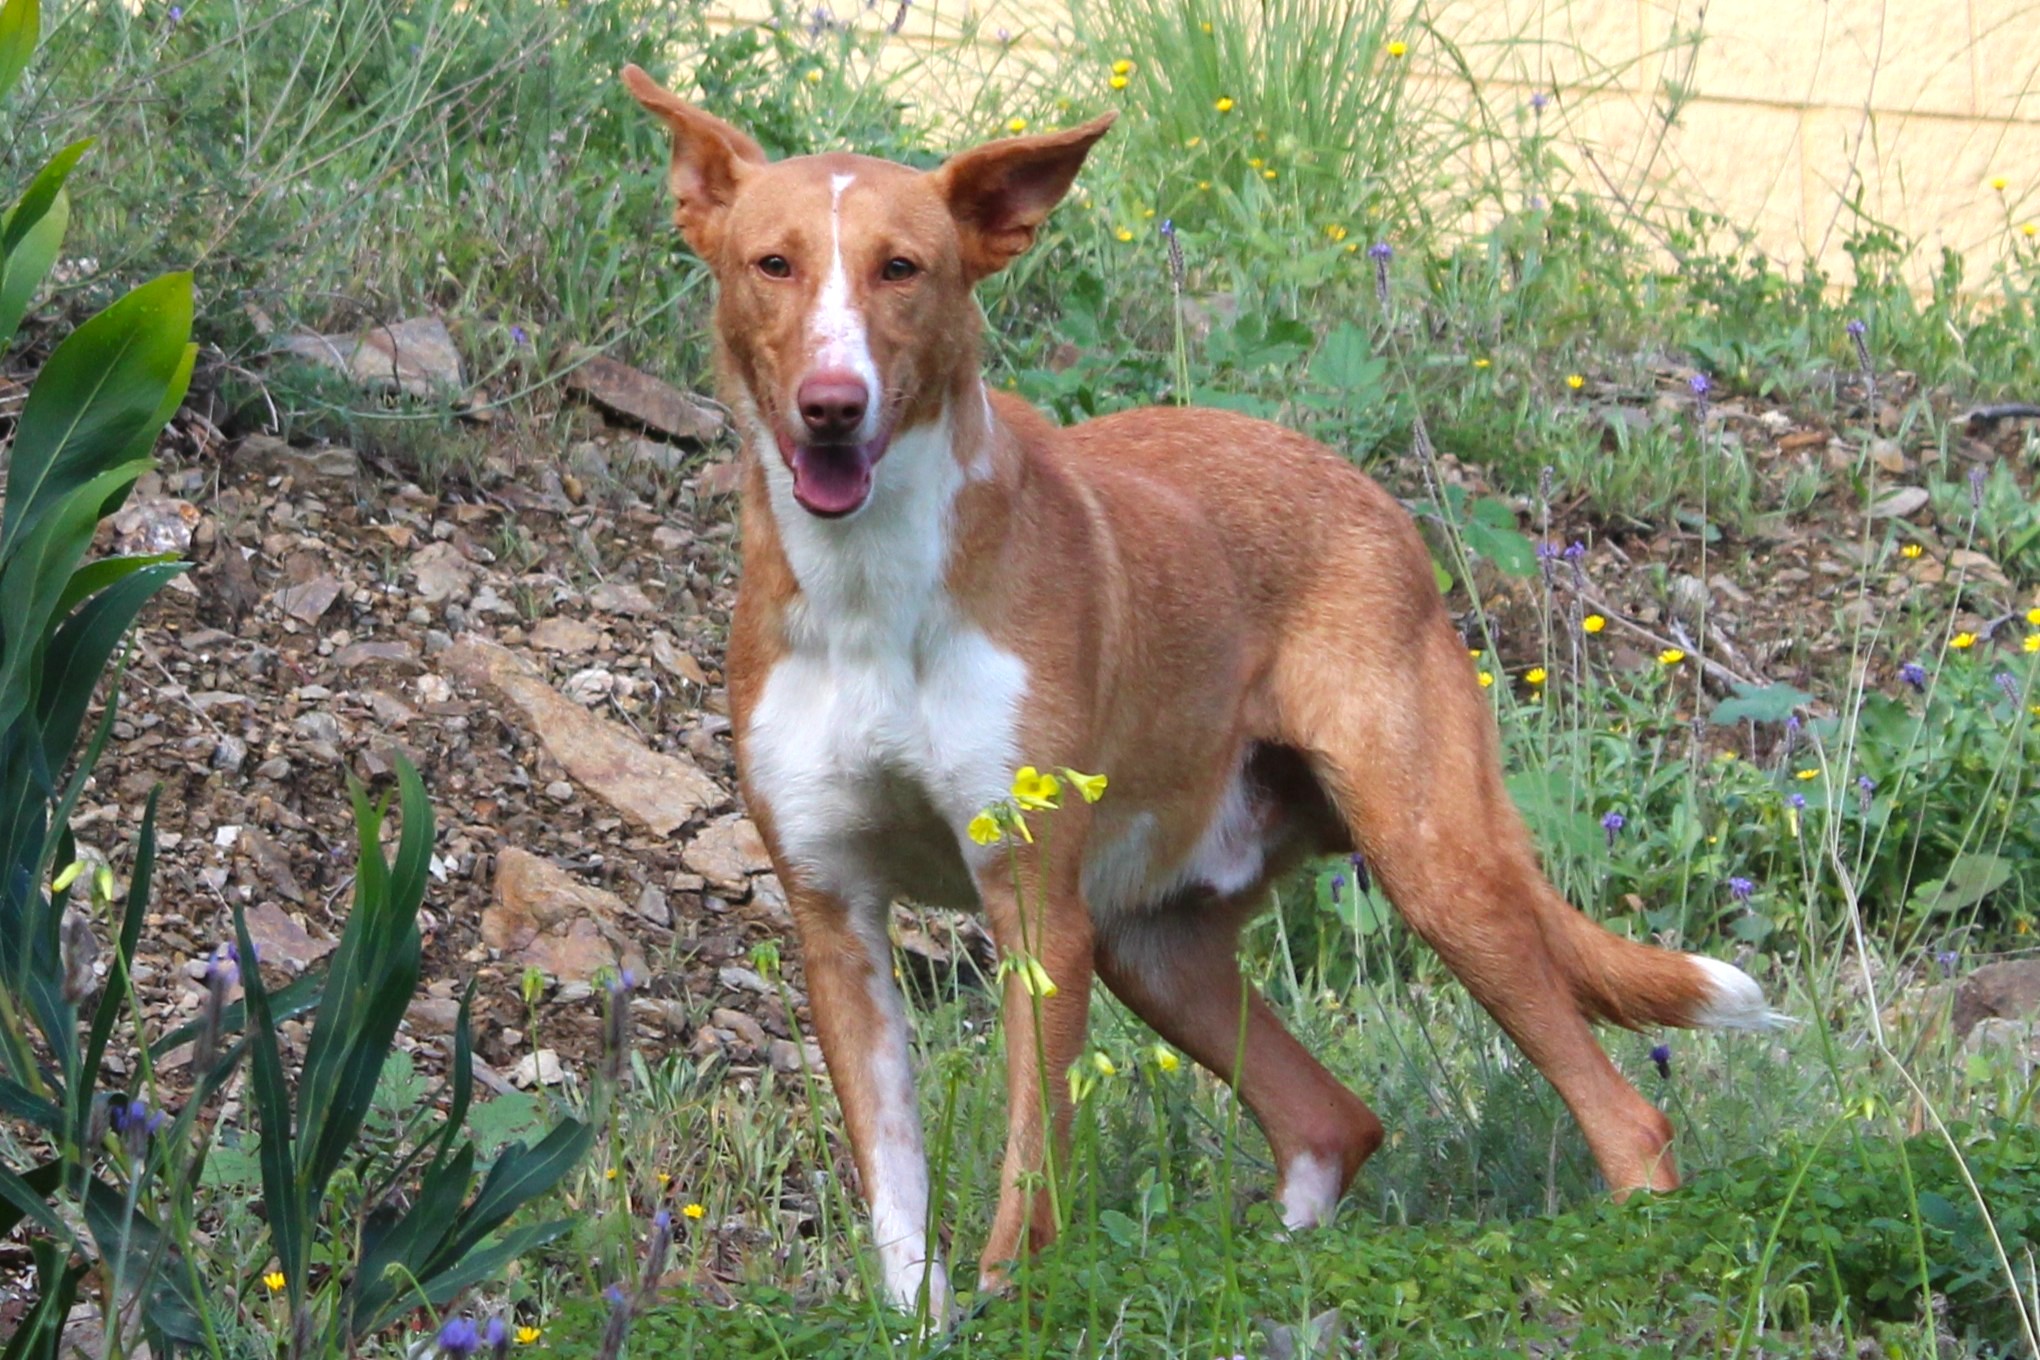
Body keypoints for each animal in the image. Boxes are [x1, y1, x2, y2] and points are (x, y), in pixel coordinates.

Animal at [624, 69, 1787, 1321]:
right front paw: (924, 1322)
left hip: (1436, 872)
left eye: (902, 268)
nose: (833, 403)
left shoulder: (1034, 908)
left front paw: (1011, 1306)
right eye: (773, 264)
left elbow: (1032, 1165)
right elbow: (896, 1191)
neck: (869, 588)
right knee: (1332, 1120)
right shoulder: (835, 912)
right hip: (1155, 944)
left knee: (1626, 1118)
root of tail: (1366, 491)